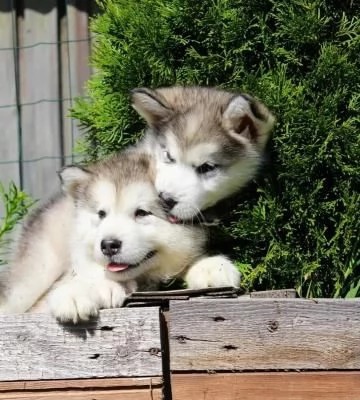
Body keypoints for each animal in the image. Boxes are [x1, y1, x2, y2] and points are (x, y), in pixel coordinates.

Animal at [0, 150, 242, 322]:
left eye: (142, 213)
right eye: (101, 214)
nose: (108, 245)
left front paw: (211, 267)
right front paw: (77, 294)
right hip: (34, 275)